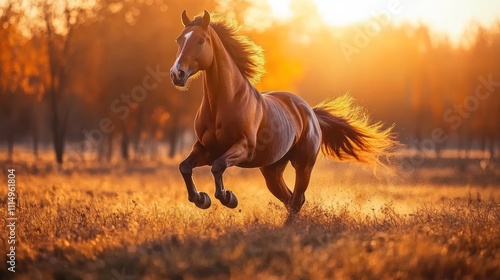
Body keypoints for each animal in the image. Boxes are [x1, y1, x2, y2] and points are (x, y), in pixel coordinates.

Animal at [170, 9, 396, 222]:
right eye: (179, 39)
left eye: (200, 40)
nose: (176, 74)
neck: (224, 104)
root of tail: (309, 112)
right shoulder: (205, 148)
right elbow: (184, 167)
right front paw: (201, 199)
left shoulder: (242, 147)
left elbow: (217, 167)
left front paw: (228, 198)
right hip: (272, 169)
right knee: (288, 198)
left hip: (303, 164)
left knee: (297, 199)